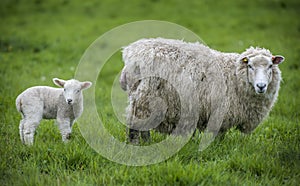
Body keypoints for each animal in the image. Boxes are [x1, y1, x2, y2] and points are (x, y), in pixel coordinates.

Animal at [119, 37, 284, 143]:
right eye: (250, 66)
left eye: (270, 66)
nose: (261, 86)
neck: (235, 75)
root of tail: (131, 52)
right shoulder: (222, 112)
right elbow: (219, 135)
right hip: (146, 97)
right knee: (135, 123)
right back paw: (137, 144)